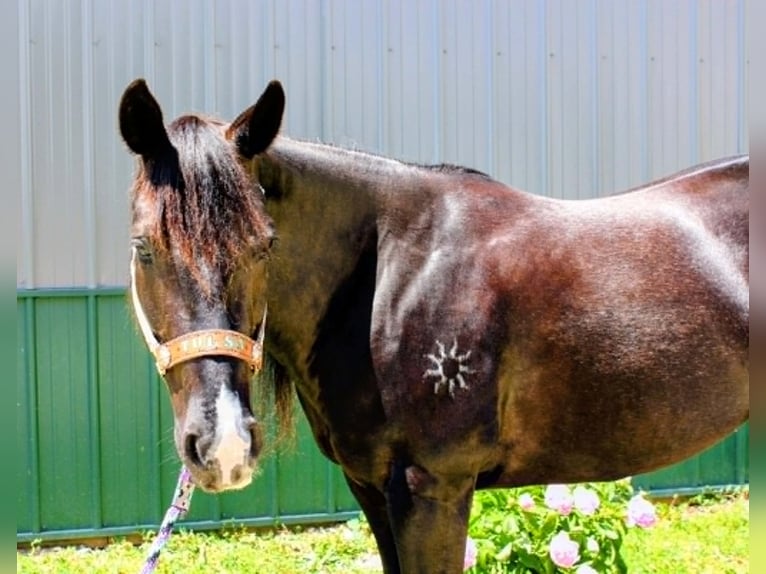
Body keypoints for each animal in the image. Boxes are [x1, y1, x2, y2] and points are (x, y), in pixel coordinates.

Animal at [119, 78, 749, 574]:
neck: (392, 279)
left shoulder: (434, 488)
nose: (223, 444)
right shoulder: (372, 487)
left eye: (264, 246)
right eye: (144, 247)